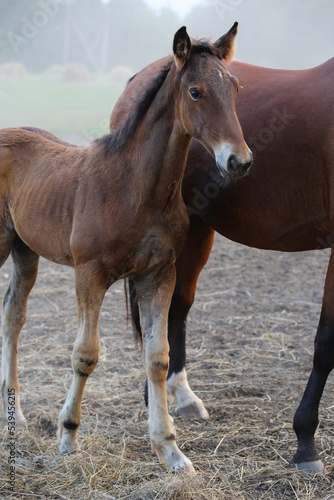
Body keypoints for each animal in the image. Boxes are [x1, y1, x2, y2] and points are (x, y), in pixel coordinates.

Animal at [0, 23, 250, 470]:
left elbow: (158, 358)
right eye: (196, 91)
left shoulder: (159, 274)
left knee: (13, 316)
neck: (137, 189)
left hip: (24, 250)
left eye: (235, 87)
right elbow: (85, 354)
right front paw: (68, 438)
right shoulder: (90, 274)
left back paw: (17, 415)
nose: (239, 161)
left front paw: (171, 450)